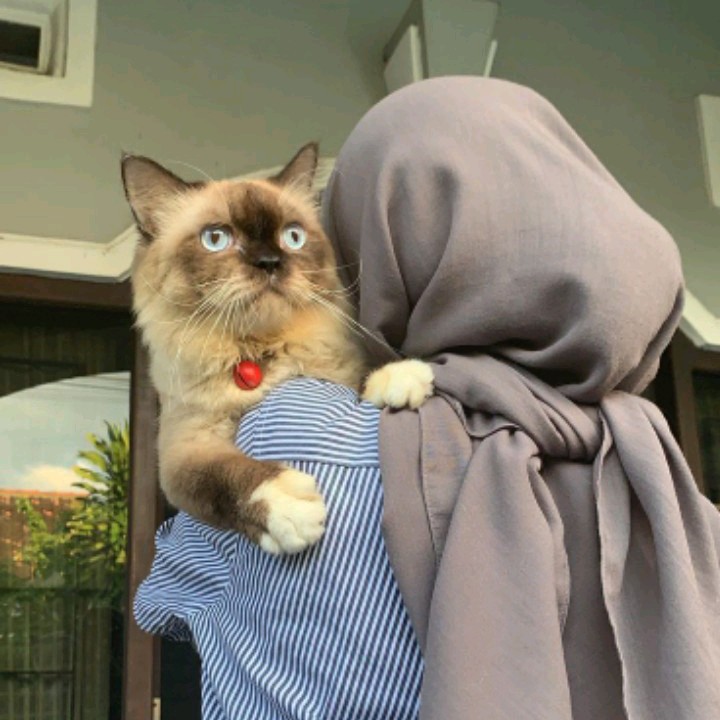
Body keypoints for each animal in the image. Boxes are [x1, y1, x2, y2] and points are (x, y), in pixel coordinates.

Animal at [122, 143, 433, 554]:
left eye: (293, 237)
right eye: (216, 239)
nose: (269, 262)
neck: (260, 356)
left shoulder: (332, 373)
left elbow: (361, 379)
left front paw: (401, 378)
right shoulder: (185, 450)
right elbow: (227, 477)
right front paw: (290, 508)